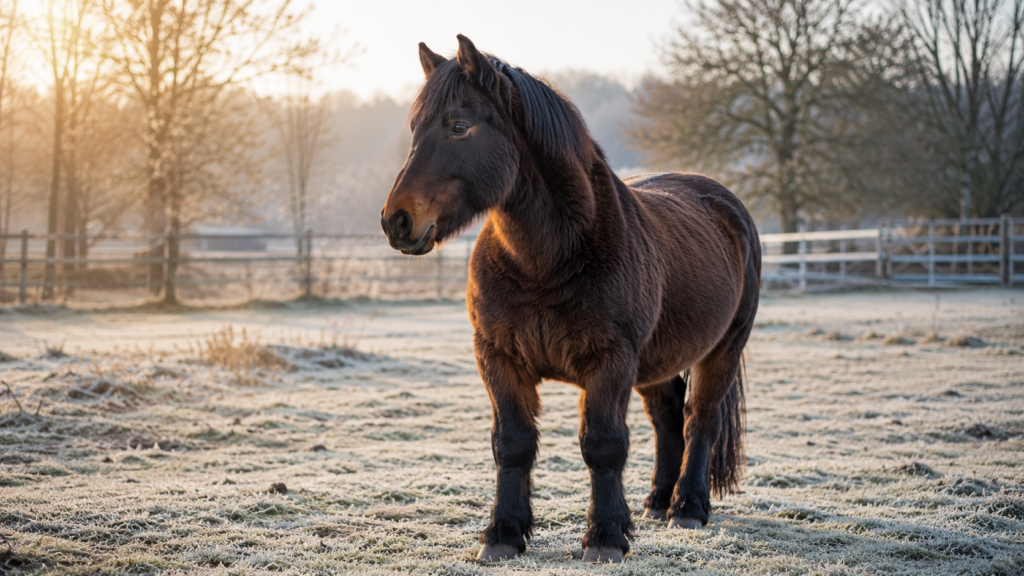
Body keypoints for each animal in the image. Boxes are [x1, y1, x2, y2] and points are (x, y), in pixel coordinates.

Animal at [380, 35, 760, 564]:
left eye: (458, 126)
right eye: (415, 127)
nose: (396, 221)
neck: (547, 260)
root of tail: (723, 200)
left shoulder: (610, 361)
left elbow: (602, 446)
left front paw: (604, 537)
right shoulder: (498, 357)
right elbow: (513, 444)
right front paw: (503, 534)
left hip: (722, 350)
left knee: (698, 421)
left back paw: (687, 507)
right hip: (655, 364)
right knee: (667, 420)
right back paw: (656, 501)